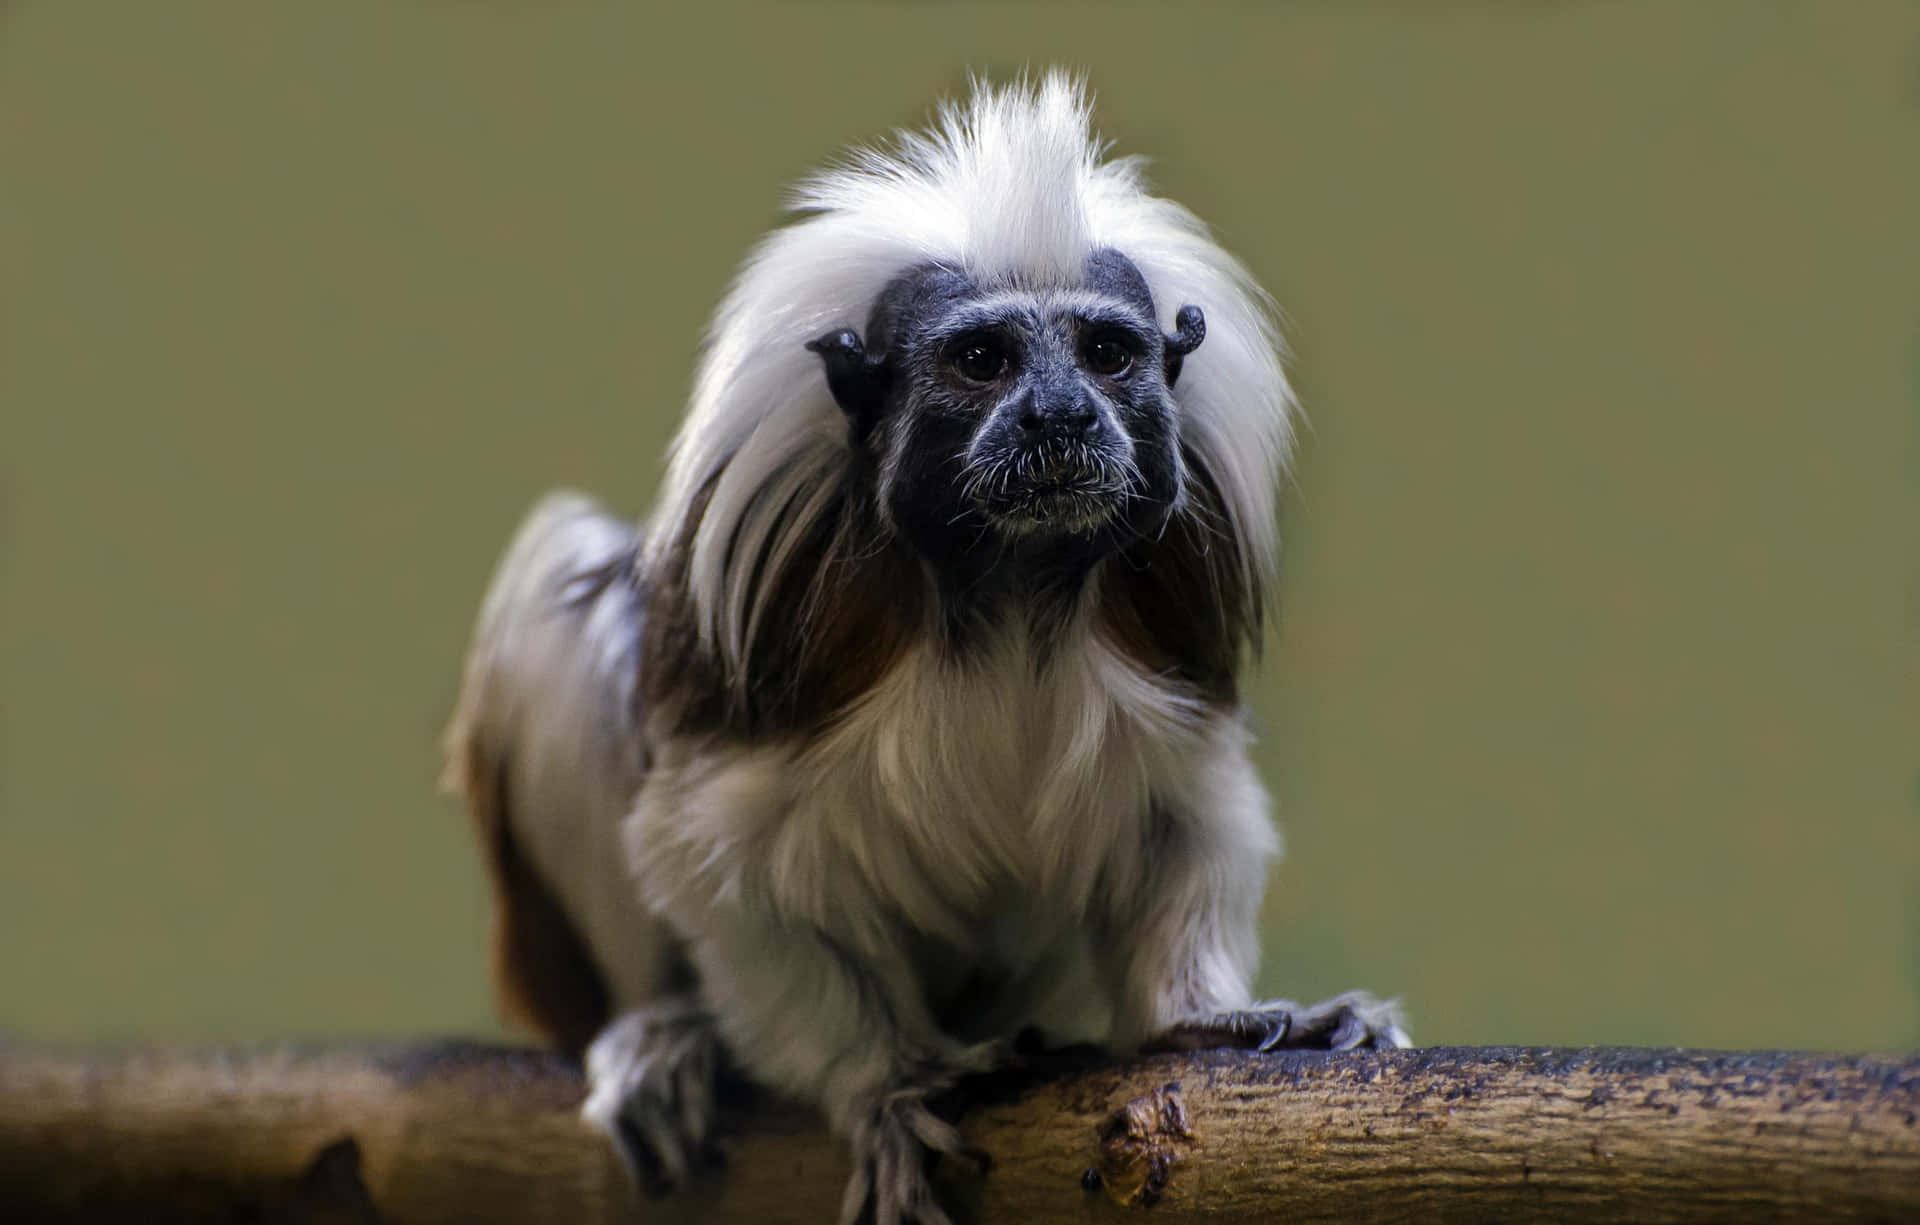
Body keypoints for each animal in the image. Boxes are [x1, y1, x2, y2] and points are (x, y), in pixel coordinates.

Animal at [449, 74, 1413, 1225]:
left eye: (1106, 354)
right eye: (983, 361)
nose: (1060, 414)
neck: (1012, 590)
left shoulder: (1172, 641)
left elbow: (1186, 822)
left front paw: (1201, 1016)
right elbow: (721, 871)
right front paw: (886, 1081)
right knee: (563, 579)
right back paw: (667, 1032)